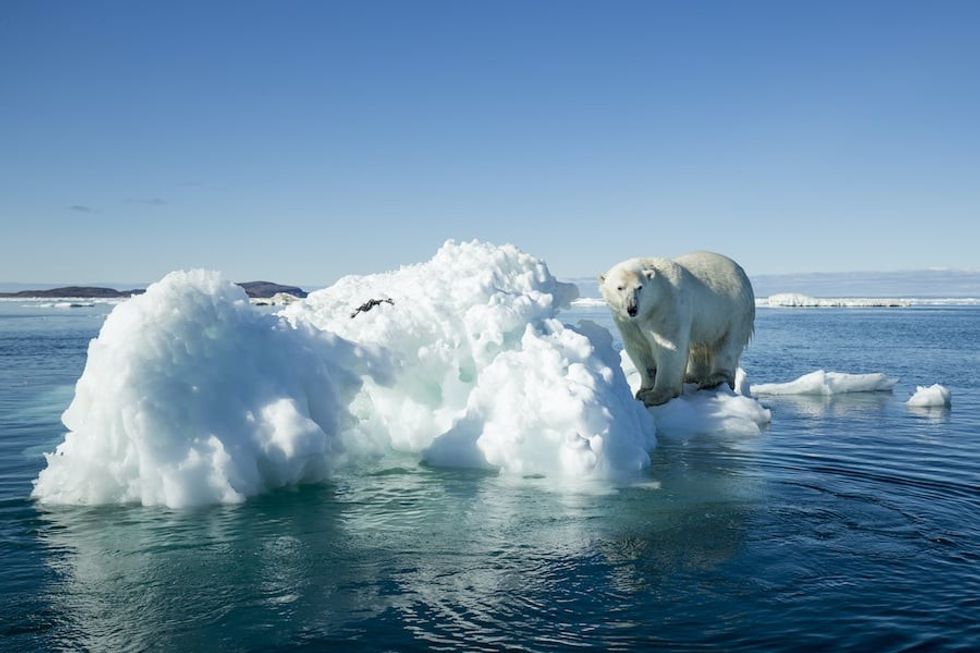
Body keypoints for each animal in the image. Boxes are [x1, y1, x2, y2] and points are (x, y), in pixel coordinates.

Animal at [599, 251, 755, 406]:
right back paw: (691, 376)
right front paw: (643, 390)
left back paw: (713, 380)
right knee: (699, 347)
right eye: (620, 287)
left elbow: (670, 347)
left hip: (733, 310)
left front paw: (655, 395)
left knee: (727, 345)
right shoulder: (628, 323)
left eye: (639, 287)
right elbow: (638, 348)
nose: (632, 308)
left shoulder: (667, 307)